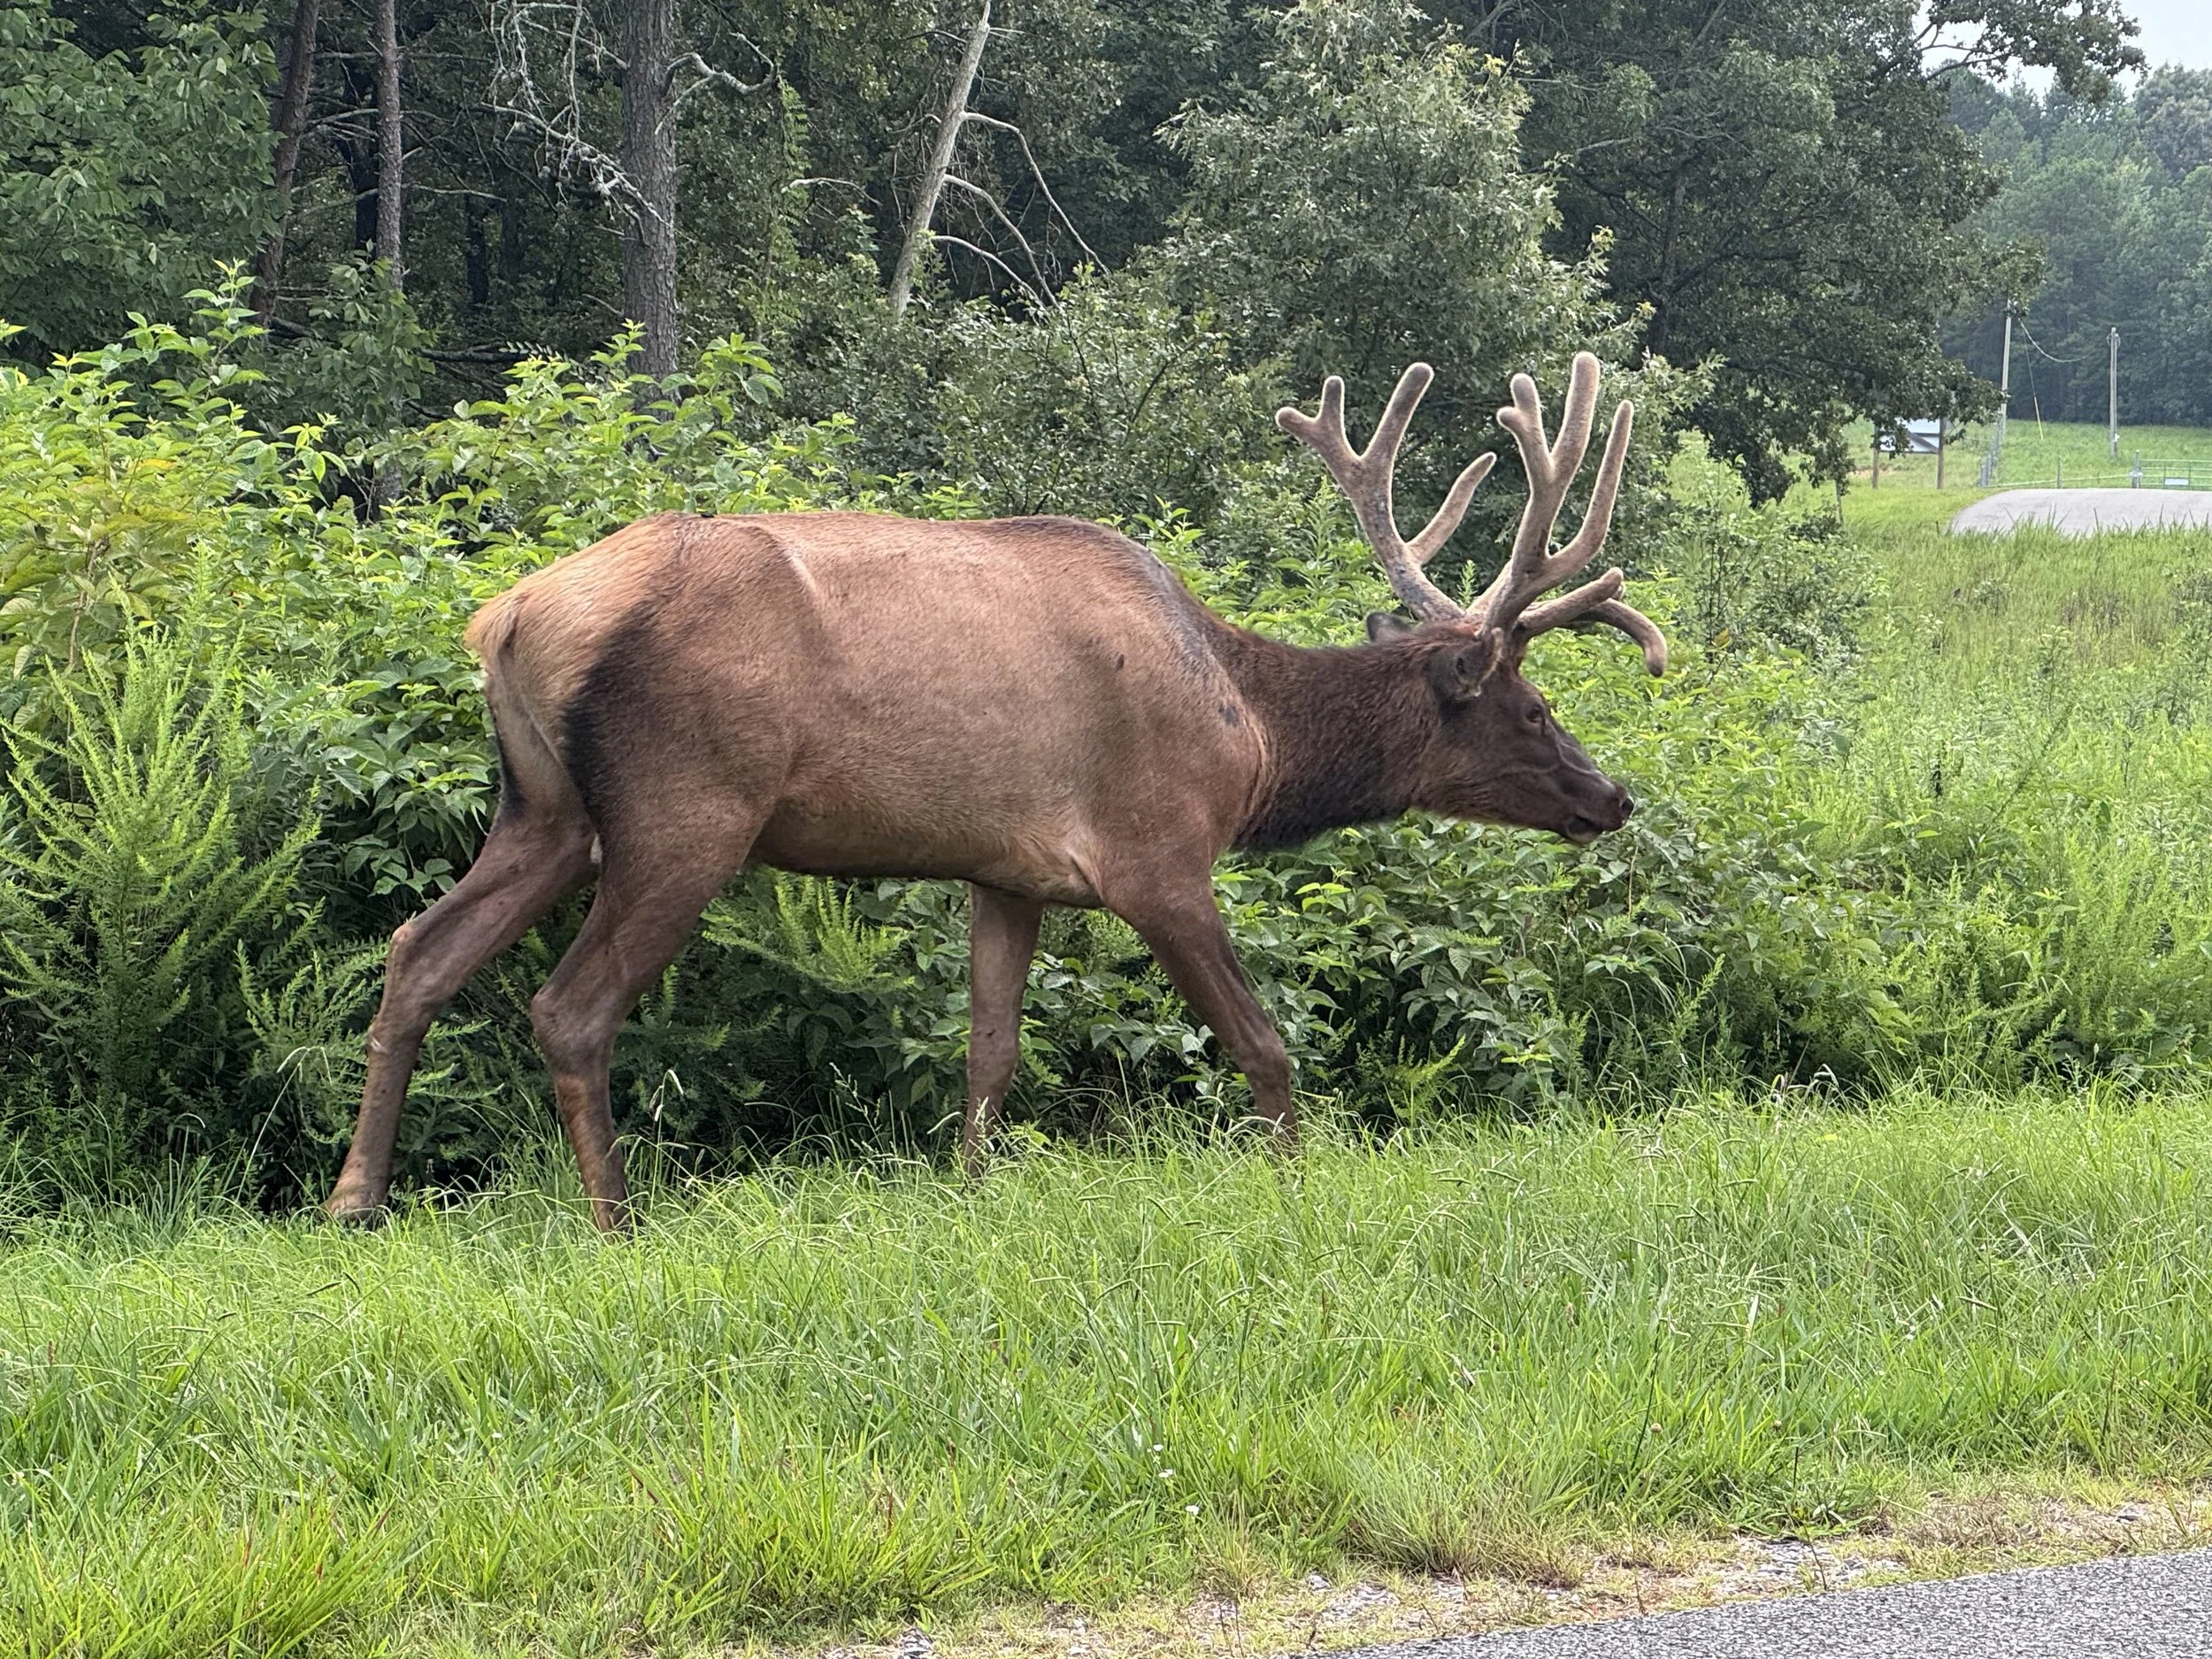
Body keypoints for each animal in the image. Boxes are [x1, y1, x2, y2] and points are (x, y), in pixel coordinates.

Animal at [325, 352, 1665, 1232]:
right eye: (1532, 708)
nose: (1611, 797)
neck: (1253, 736)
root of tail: (509, 616)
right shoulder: (1158, 853)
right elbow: (1264, 1044)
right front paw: (1295, 1186)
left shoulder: (1004, 871)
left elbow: (988, 1051)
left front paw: (971, 1193)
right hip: (684, 806)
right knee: (567, 1004)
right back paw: (614, 1219)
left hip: (545, 808)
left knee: (417, 950)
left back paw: (354, 1198)